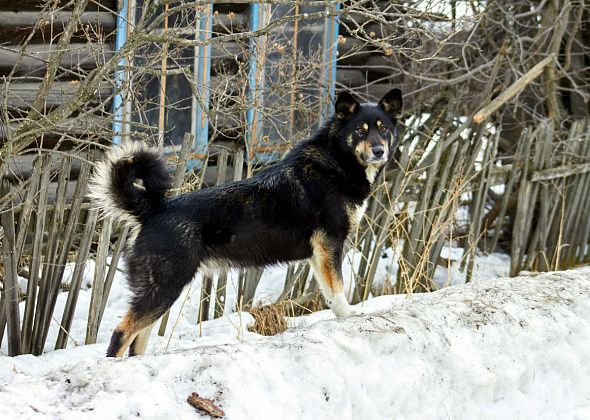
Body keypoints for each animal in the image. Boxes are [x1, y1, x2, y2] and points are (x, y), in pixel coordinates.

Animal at [89, 89, 402, 358]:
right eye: (360, 130)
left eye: (384, 128)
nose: (379, 151)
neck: (336, 160)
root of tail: (152, 210)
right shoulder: (329, 244)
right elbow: (338, 287)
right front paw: (349, 314)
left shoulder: (320, 254)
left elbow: (329, 289)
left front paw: (340, 315)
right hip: (164, 286)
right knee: (121, 332)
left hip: (162, 291)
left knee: (137, 339)